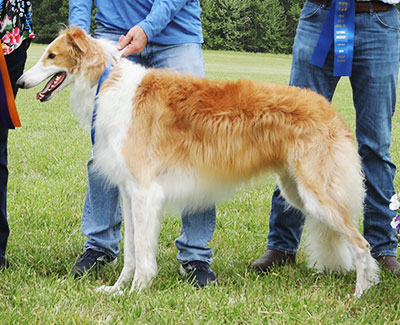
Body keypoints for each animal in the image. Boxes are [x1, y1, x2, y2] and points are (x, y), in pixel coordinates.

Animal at [16, 27, 378, 296]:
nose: (19, 82)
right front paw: (118, 290)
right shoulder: (130, 192)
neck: (108, 82)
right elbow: (131, 251)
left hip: (318, 193)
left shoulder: (146, 192)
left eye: (51, 55)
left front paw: (137, 292)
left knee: (362, 245)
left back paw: (360, 295)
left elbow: (142, 255)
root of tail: (330, 111)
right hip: (295, 190)